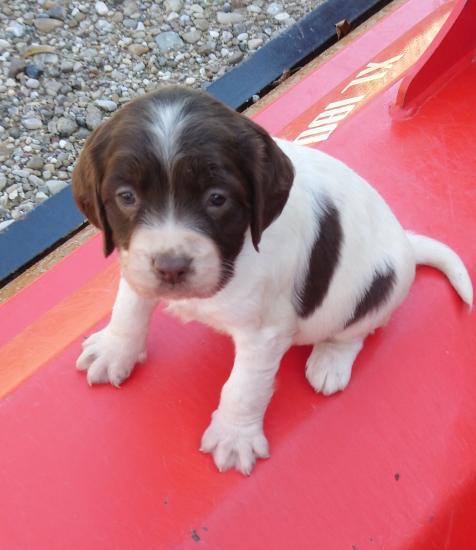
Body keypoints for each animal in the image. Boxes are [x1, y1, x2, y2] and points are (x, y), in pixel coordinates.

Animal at [72, 84, 474, 476]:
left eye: (217, 199)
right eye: (126, 197)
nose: (172, 267)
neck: (234, 259)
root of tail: (407, 243)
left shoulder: (263, 334)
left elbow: (244, 387)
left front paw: (234, 436)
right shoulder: (134, 261)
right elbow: (129, 307)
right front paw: (115, 350)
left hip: (375, 290)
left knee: (358, 328)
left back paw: (330, 361)